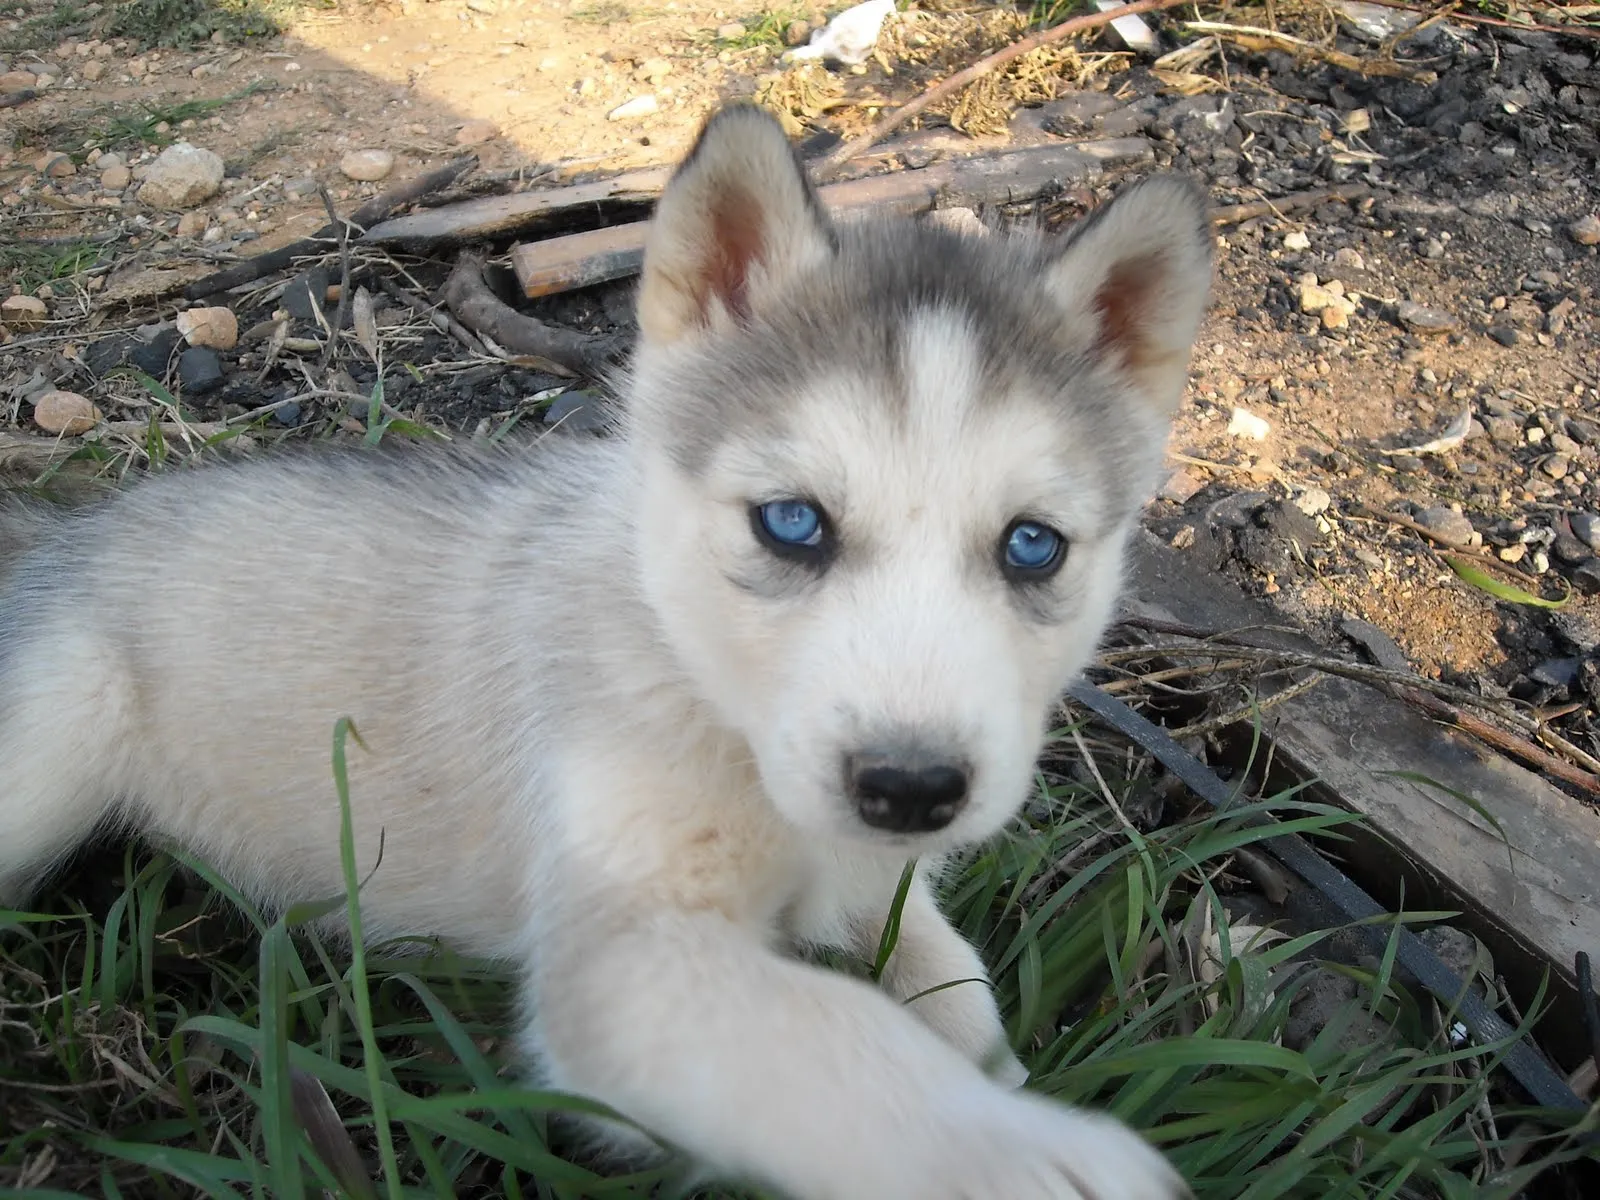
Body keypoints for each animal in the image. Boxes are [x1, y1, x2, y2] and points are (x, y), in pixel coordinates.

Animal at [0, 105, 1203, 1200]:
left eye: (1033, 546)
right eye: (792, 523)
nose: (910, 791)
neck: (704, 687)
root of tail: (63, 532)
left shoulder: (867, 888)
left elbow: (958, 989)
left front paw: (1003, 1073)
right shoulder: (624, 957)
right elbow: (843, 1040)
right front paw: (1014, 1152)